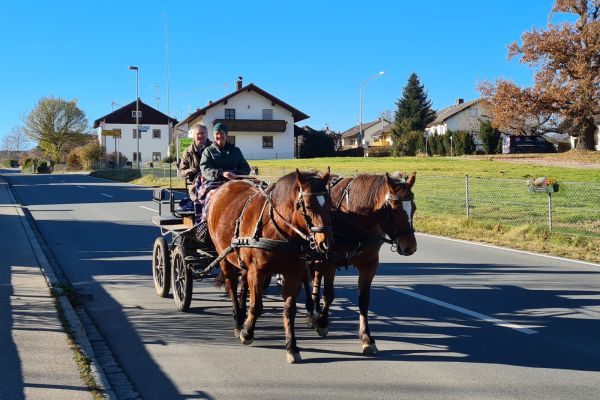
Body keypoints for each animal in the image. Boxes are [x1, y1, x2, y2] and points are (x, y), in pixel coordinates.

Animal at [209, 169, 336, 362]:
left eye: (329, 204)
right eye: (307, 206)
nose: (326, 244)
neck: (278, 230)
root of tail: (225, 186)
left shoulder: (293, 273)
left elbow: (289, 309)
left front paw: (292, 346)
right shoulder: (257, 272)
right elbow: (257, 306)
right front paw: (247, 332)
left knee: (243, 284)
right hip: (224, 257)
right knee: (231, 285)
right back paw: (238, 321)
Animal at [308, 173, 414, 354]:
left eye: (413, 207)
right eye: (393, 211)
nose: (410, 247)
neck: (354, 216)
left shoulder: (369, 265)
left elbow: (364, 301)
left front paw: (366, 338)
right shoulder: (330, 261)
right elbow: (328, 295)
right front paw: (322, 323)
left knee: (316, 275)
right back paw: (313, 312)